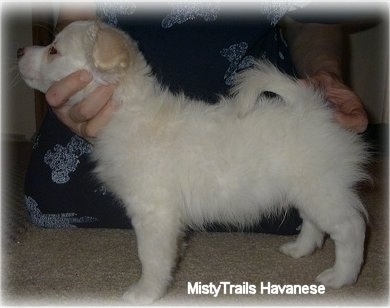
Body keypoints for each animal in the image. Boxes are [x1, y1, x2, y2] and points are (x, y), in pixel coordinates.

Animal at [18, 21, 368, 304]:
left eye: (53, 50)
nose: (20, 49)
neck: (127, 112)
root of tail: (309, 106)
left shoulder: (153, 212)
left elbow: (151, 258)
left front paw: (145, 293)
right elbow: (167, 252)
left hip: (321, 190)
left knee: (351, 228)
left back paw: (341, 276)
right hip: (306, 188)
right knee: (313, 223)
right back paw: (300, 249)